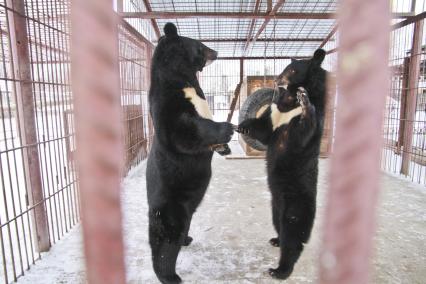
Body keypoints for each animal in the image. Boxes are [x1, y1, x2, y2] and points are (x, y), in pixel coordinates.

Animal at [146, 22, 233, 284]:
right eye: (201, 45)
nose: (217, 52)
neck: (183, 80)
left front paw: (224, 147)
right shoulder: (168, 103)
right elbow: (183, 130)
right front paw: (227, 128)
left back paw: (187, 239)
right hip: (171, 208)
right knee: (165, 245)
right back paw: (171, 276)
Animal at [236, 48, 326, 280]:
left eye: (292, 70)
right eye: (285, 67)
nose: (277, 79)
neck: (289, 103)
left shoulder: (301, 126)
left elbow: (303, 132)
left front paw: (306, 102)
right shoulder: (275, 113)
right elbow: (264, 130)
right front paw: (242, 126)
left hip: (295, 207)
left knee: (293, 239)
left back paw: (279, 270)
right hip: (275, 207)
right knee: (280, 227)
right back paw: (276, 239)